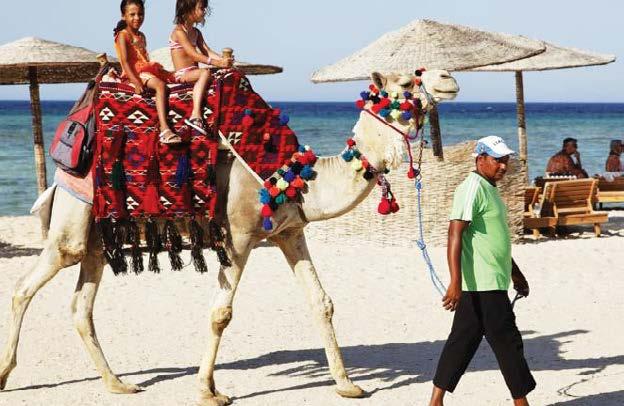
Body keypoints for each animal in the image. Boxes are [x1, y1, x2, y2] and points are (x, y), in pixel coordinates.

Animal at [0, 70, 458, 406]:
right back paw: (7, 375)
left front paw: (348, 385)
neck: (295, 176)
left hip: (99, 236)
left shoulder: (291, 233)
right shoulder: (237, 236)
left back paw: (118, 383)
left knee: (81, 305)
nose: (448, 78)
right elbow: (221, 312)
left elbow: (321, 302)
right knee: (25, 287)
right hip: (72, 223)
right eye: (405, 84)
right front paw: (209, 391)